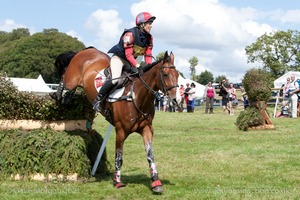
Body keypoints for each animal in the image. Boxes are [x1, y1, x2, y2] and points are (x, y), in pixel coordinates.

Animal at [51, 47, 179, 192]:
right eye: (166, 74)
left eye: (177, 75)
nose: (175, 100)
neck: (136, 96)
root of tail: (87, 50)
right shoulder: (121, 131)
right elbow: (119, 157)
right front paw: (117, 181)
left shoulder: (146, 129)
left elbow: (150, 155)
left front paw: (156, 182)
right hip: (71, 80)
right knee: (64, 78)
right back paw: (58, 95)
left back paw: (66, 97)